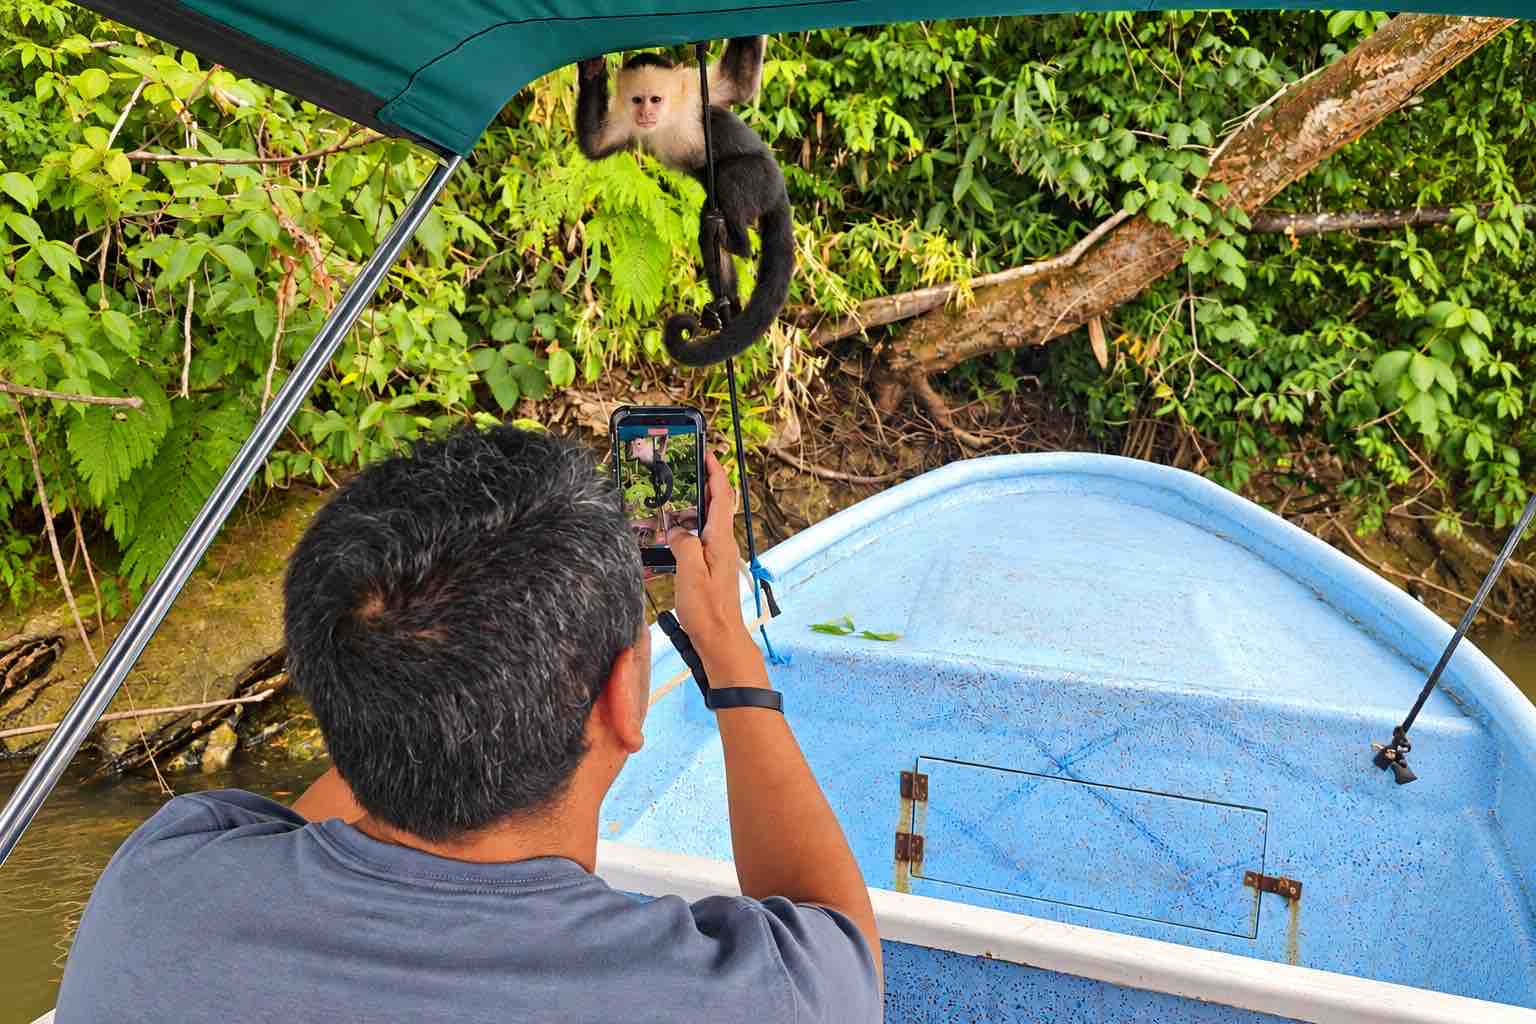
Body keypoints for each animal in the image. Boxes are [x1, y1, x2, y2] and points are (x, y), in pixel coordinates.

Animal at [576, 38, 794, 368]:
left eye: (655, 99)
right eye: (637, 100)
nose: (646, 113)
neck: (667, 117)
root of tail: (780, 187)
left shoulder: (693, 92)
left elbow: (738, 84)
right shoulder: (627, 122)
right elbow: (595, 144)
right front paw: (590, 69)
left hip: (762, 178)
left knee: (729, 180)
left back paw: (738, 243)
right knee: (708, 229)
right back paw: (725, 309)